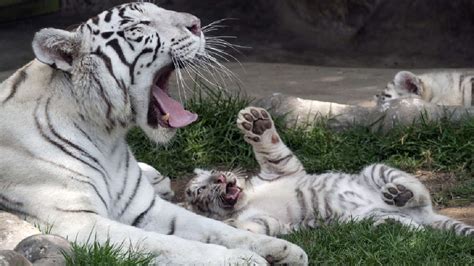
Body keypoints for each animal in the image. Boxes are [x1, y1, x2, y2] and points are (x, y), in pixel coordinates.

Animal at [0, 1, 308, 264]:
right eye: (139, 26)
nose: (197, 24)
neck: (107, 137)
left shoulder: (146, 208)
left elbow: (215, 228)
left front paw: (282, 249)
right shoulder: (80, 222)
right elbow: (172, 244)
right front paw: (243, 260)